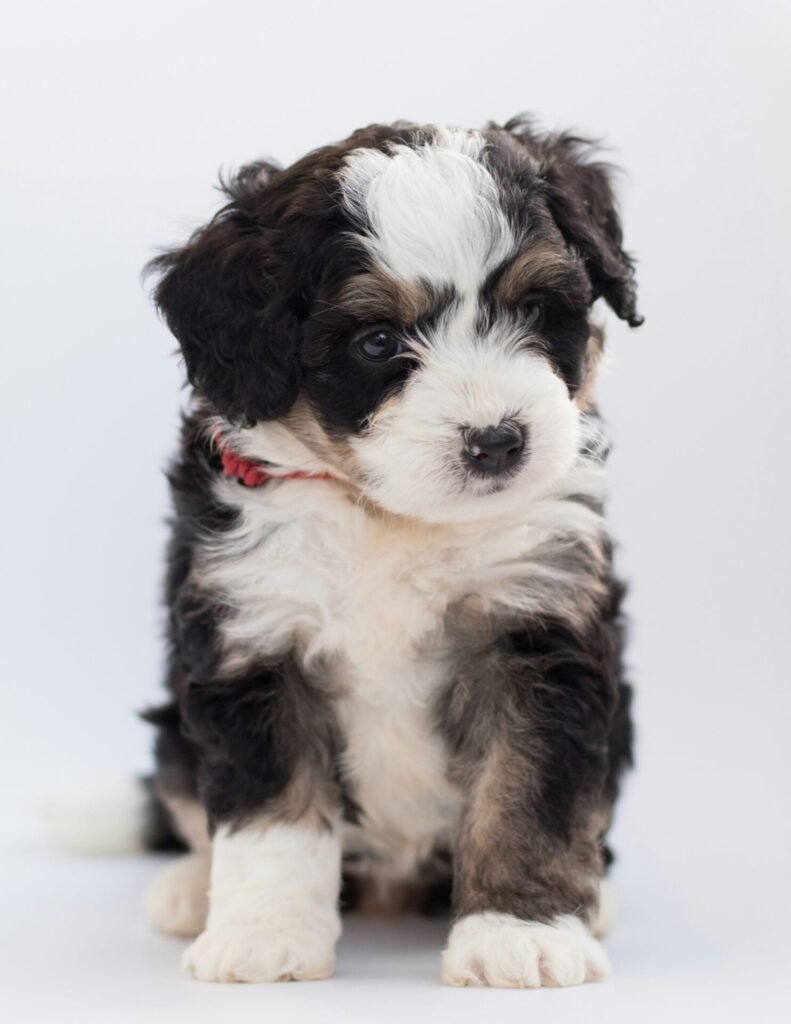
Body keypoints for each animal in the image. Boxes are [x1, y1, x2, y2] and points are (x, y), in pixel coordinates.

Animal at [136, 116, 643, 987]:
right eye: (376, 343)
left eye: (535, 309)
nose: (497, 441)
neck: (385, 515)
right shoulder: (255, 633)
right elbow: (272, 812)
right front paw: (264, 937)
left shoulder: (535, 622)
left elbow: (526, 793)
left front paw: (518, 932)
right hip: (173, 729)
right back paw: (189, 887)